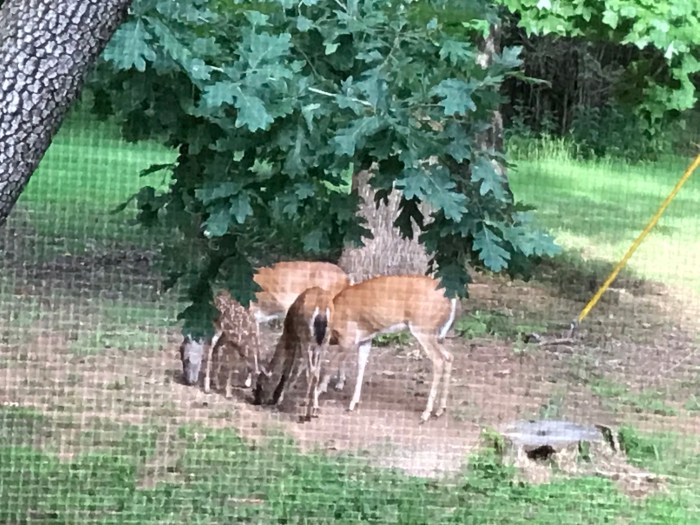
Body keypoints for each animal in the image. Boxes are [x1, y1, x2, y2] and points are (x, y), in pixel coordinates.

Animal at [179, 260, 351, 394]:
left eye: (186, 358)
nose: (188, 381)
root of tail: (347, 279)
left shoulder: (249, 316)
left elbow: (247, 346)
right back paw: (339, 383)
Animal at [253, 286, 334, 421]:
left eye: (259, 383)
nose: (256, 400)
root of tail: (322, 311)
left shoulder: (293, 336)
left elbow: (288, 368)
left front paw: (276, 398)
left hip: (307, 338)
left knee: (311, 372)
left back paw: (306, 414)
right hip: (324, 341)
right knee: (316, 373)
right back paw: (313, 410)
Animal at [318, 274, 458, 423]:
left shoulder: (348, 338)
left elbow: (332, 364)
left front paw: (319, 390)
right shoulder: (365, 339)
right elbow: (361, 366)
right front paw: (353, 403)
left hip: (423, 327)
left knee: (439, 360)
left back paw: (426, 413)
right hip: (434, 333)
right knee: (449, 356)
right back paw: (440, 409)